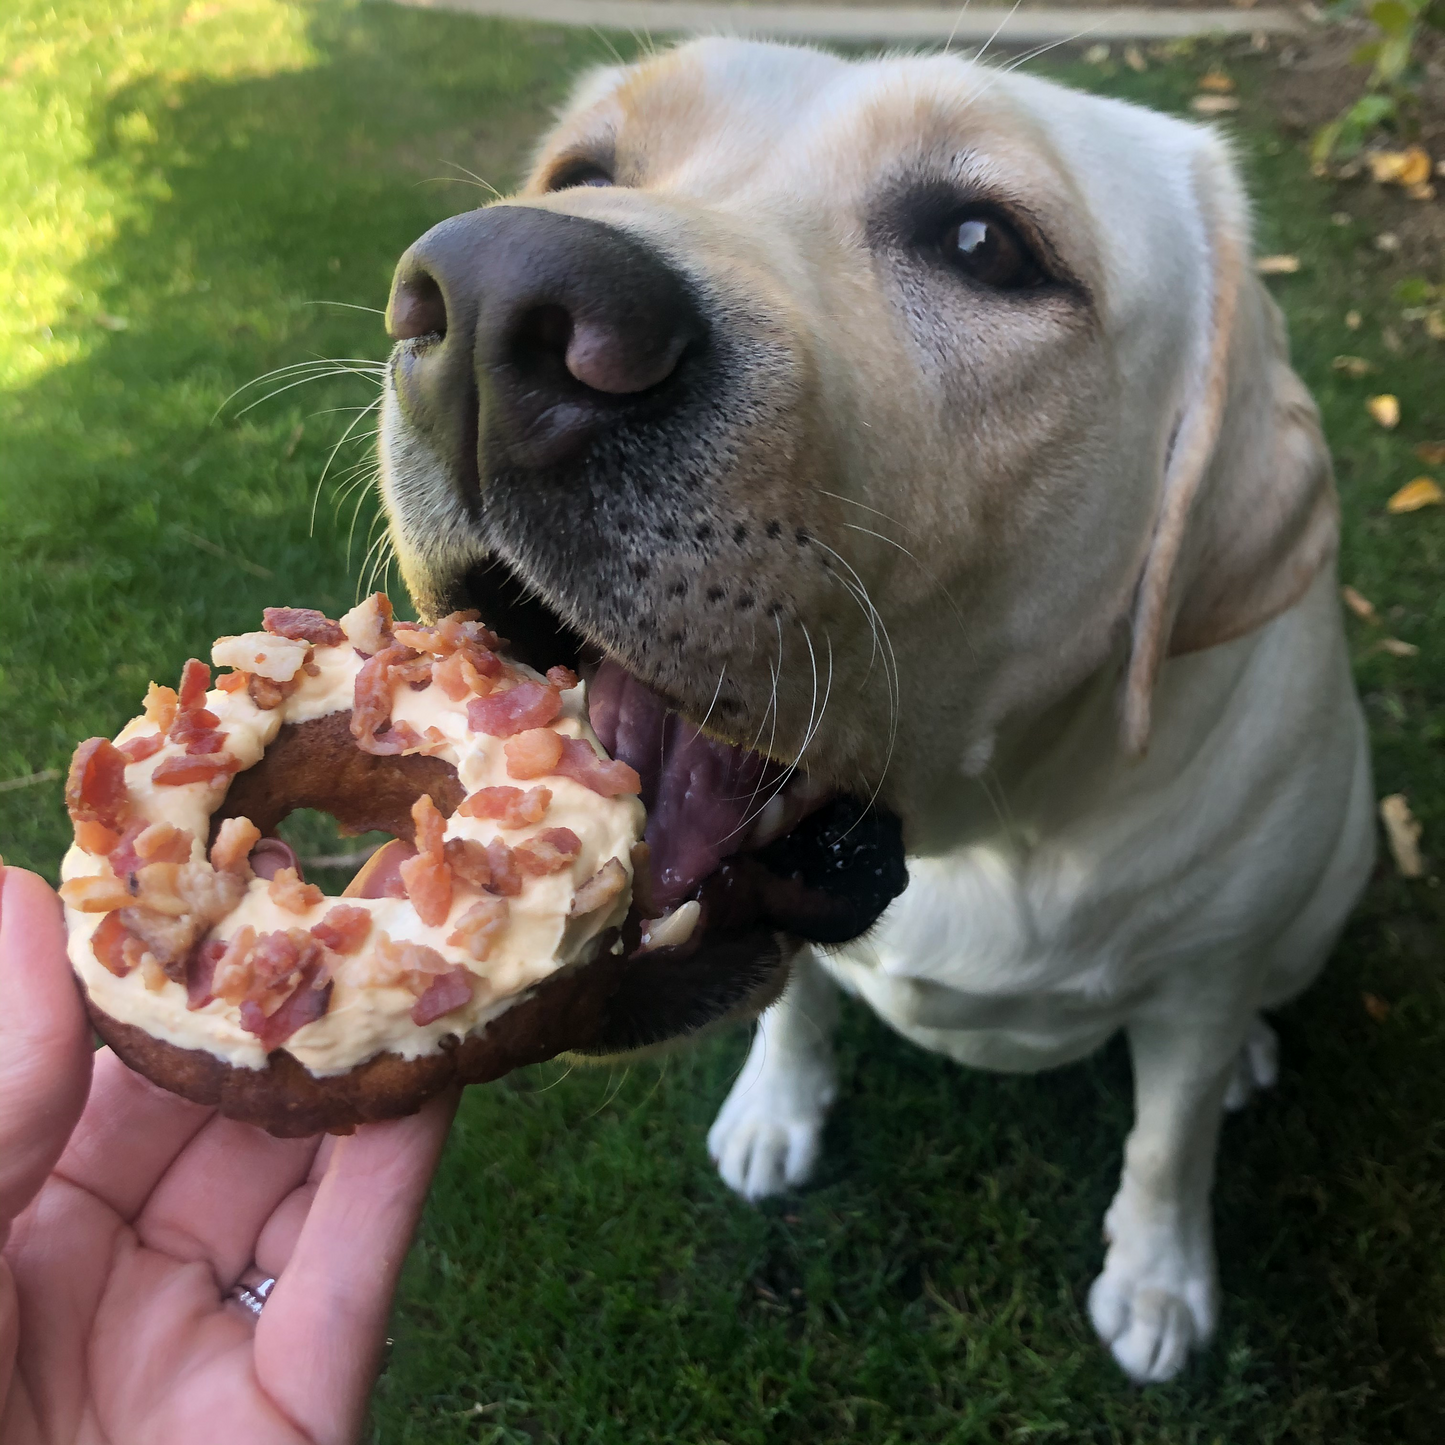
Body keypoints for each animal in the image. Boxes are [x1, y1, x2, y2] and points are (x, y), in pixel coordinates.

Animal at [378, 39, 1369, 1381]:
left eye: (982, 243)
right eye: (583, 173)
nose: (489, 303)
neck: (984, 830)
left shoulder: (1204, 982)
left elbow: (1167, 1142)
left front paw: (1159, 1277)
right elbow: (794, 1002)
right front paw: (774, 1107)